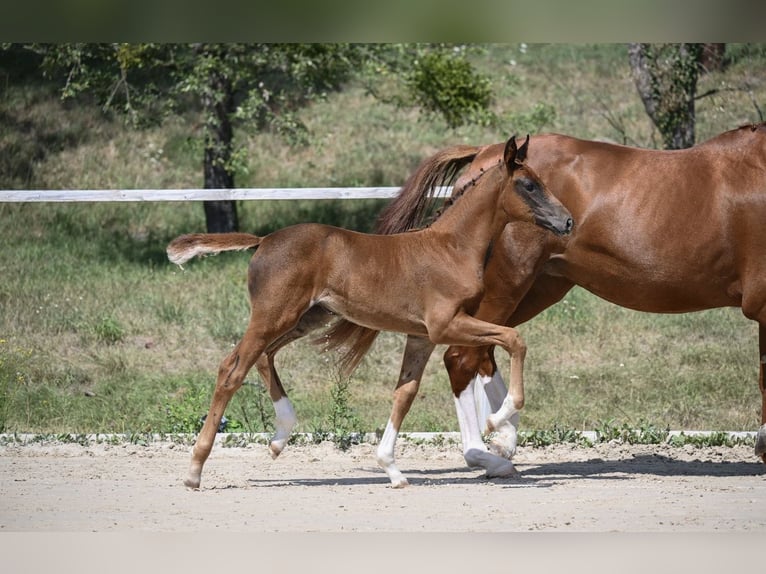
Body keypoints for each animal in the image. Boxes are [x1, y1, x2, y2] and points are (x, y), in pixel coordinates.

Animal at [166, 135, 573, 489]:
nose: (568, 221)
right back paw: (194, 470)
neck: (451, 248)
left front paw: (392, 470)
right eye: (529, 185)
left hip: (308, 318)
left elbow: (404, 393)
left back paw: (279, 438)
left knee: (263, 356)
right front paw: (498, 420)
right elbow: (515, 339)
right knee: (232, 369)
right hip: (274, 316)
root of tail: (263, 240)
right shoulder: (445, 325)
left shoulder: (421, 337)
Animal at [324, 122, 766, 476]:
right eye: (529, 186)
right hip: (511, 284)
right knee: (462, 357)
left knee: (483, 352)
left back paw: (501, 439)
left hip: (536, 289)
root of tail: (482, 156)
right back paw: (487, 448)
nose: (567, 220)